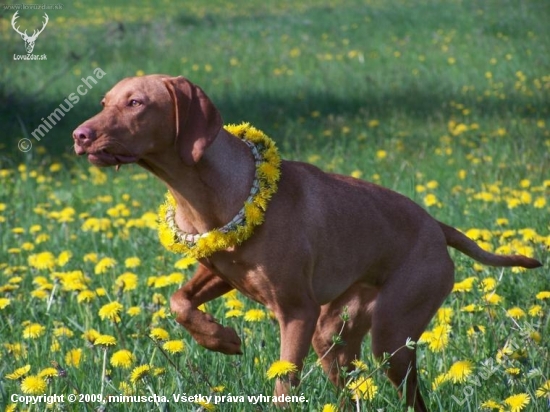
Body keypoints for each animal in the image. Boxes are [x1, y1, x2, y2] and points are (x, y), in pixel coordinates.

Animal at [73, 75, 544, 410]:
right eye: (104, 103)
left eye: (136, 102)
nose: (79, 135)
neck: (211, 193)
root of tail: (436, 225)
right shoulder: (219, 272)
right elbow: (178, 302)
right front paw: (220, 339)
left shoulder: (296, 312)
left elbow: (285, 385)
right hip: (334, 336)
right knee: (350, 395)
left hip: (392, 337)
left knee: (412, 397)